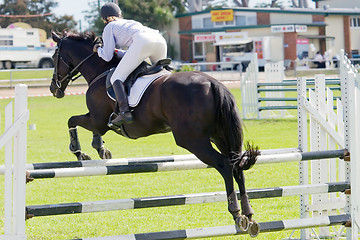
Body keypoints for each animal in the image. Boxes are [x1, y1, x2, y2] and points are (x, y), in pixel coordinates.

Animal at [49, 30, 260, 236]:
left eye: (53, 57)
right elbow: (85, 127)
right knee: (237, 166)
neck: (99, 70)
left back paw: (236, 214)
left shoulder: (97, 120)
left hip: (193, 140)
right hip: (220, 136)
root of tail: (213, 83)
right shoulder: (97, 120)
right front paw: (100, 149)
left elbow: (72, 120)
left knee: (224, 165)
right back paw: (249, 217)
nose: (53, 89)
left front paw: (79, 151)